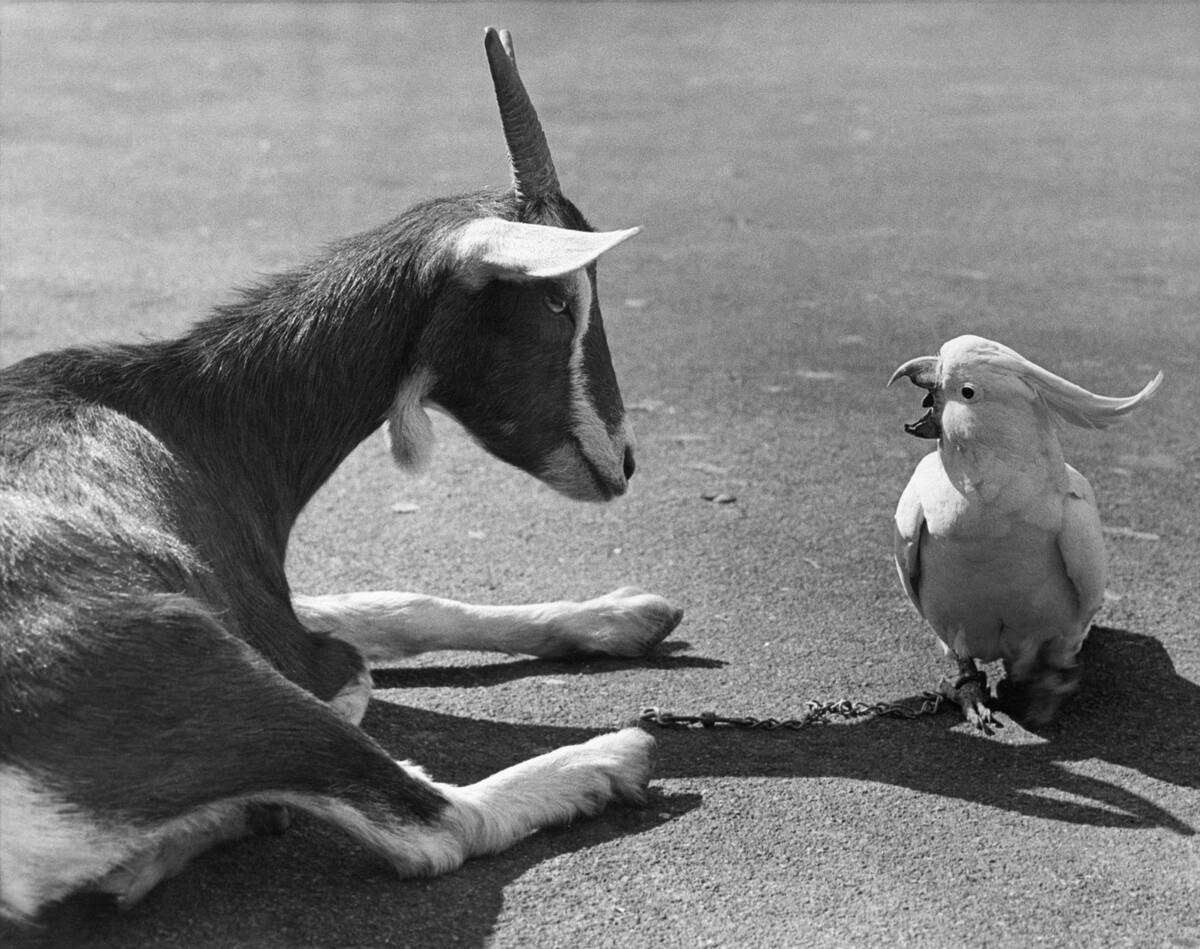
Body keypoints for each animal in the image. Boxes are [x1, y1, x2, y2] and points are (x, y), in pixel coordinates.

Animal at [0, 28, 682, 922]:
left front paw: (624, 612)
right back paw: (610, 760)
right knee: (431, 825)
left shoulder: (263, 600)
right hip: (210, 667)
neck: (191, 411)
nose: (621, 458)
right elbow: (361, 659)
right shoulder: (283, 640)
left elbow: (400, 603)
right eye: (559, 302)